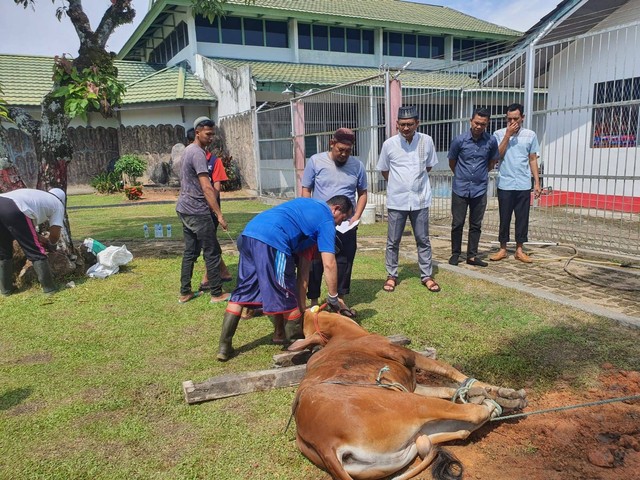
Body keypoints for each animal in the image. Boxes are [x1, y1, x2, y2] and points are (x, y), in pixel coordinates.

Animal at [288, 310, 528, 478]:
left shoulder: (412, 383)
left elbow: (447, 387)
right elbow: (448, 370)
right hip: (413, 404)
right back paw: (491, 404)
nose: (303, 311)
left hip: (412, 436)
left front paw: (491, 392)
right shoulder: (407, 356)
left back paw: (492, 401)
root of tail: (324, 443)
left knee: (457, 431)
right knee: (471, 414)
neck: (340, 337)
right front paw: (501, 391)